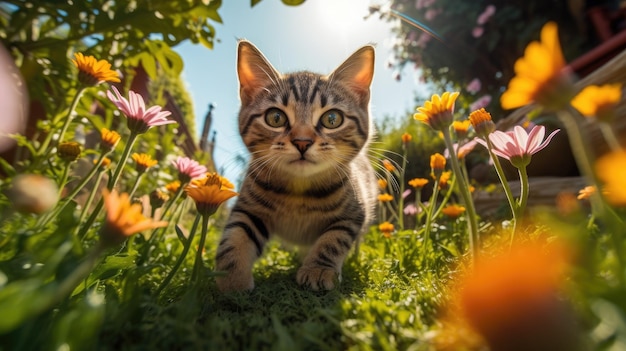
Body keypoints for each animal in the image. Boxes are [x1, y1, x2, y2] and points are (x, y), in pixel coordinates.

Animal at [216, 41, 376, 292]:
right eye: (275, 118)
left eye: (332, 119)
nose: (302, 141)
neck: (298, 193)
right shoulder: (249, 208)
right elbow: (235, 237)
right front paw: (232, 278)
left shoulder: (354, 213)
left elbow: (333, 239)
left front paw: (318, 269)